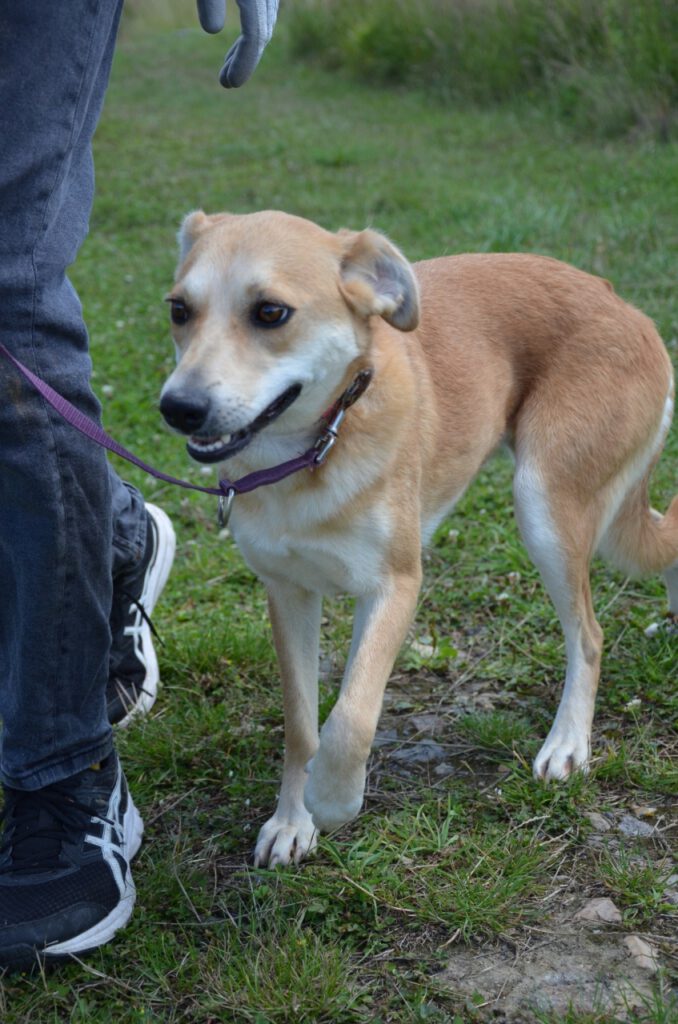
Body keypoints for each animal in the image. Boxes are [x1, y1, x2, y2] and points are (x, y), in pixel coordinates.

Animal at [160, 211, 678, 868]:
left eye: (271, 313)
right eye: (180, 309)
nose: (178, 407)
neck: (311, 455)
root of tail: (618, 299)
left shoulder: (395, 586)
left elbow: (351, 716)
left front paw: (333, 800)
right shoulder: (287, 593)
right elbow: (302, 724)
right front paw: (292, 819)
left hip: (545, 507)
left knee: (588, 636)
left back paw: (567, 743)